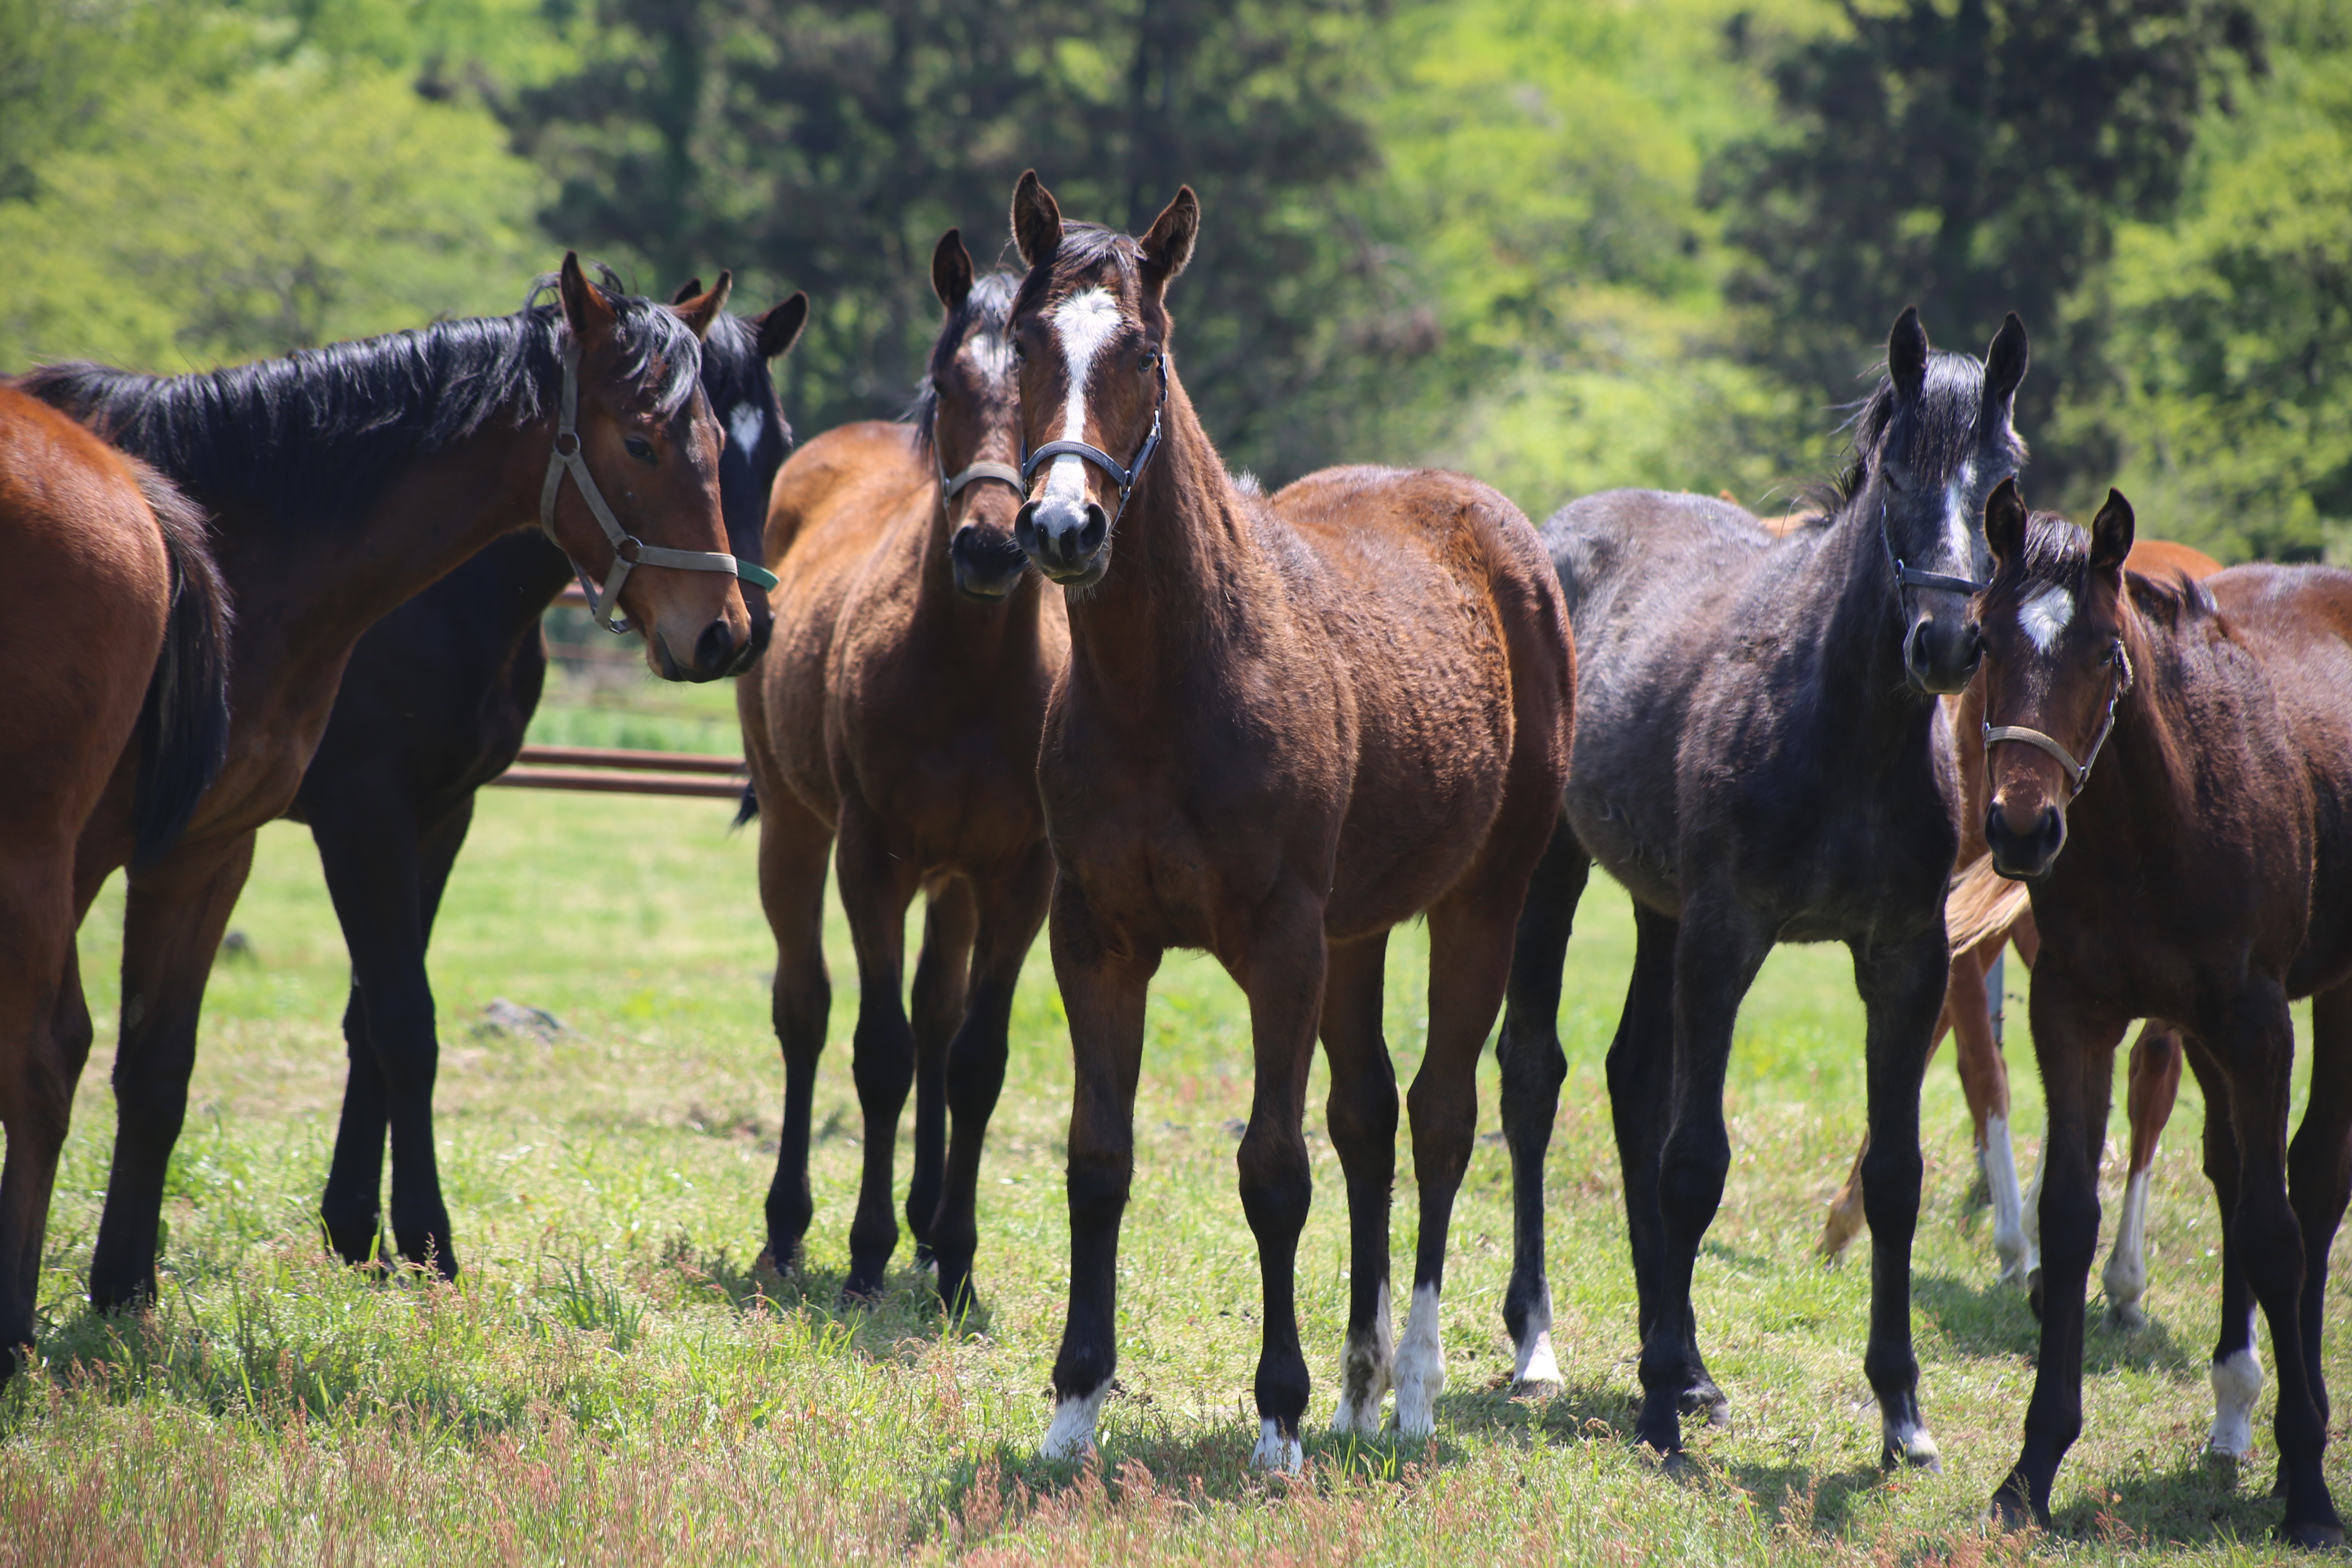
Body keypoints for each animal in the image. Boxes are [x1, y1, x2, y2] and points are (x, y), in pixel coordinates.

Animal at [292, 282, 809, 1278]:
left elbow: (370, 1020)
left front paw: (353, 1227)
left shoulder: (438, 814)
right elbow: (402, 1020)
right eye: (645, 445)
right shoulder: (362, 814)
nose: (734, 634)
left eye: (776, 445)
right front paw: (421, 1238)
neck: (437, 591)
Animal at [1002, 175, 1571, 1476]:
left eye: (1143, 351)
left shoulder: (1278, 944)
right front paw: (1073, 1405)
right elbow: (1097, 1158)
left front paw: (1278, 1418)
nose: (1063, 529)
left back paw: (1410, 1390)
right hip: (1357, 934)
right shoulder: (1096, 940)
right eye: (1021, 342)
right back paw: (1362, 1384)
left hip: (1481, 902)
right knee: (1367, 1116)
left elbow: (1271, 1168)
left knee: (1441, 1117)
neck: (1168, 687)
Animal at [1496, 310, 2032, 1476]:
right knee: (1532, 1077)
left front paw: (1901, 1415)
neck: (1842, 727)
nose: (1945, 642)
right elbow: (1696, 1161)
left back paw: (1689, 1361)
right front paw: (1655, 1410)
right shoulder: (1727, 936)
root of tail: (1553, 533)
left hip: (1657, 909)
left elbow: (1893, 1173)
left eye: (2003, 480)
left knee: (1633, 1077)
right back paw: (1539, 1344)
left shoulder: (1904, 956)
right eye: (1893, 475)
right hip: (1556, 874)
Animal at [1976, 484, 2352, 1551]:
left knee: (2311, 1185)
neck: (2156, 819)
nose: (2022, 829)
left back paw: (2288, 1429)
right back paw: (2233, 1412)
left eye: (2107, 651)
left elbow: (2274, 1229)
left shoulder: (2257, 1023)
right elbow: (2068, 1217)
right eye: (1981, 640)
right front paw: (2030, 1470)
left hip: (2324, 995)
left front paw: (2311, 1491)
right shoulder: (2073, 1013)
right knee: (2232, 1169)